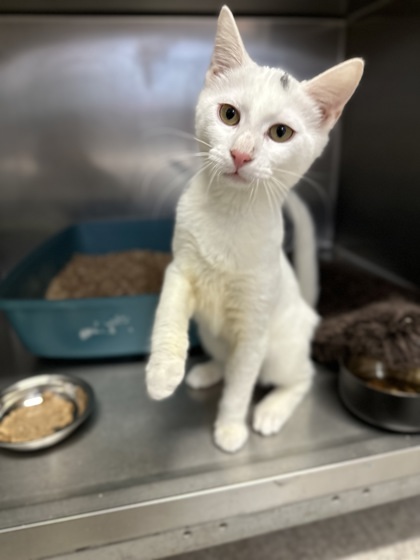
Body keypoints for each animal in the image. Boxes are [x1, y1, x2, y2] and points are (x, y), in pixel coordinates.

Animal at [146, 6, 362, 456]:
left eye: (280, 132)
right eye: (229, 114)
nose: (241, 153)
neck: (230, 214)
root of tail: (311, 313)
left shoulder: (255, 326)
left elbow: (242, 383)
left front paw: (230, 426)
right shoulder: (179, 270)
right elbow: (168, 315)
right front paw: (162, 372)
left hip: (280, 349)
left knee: (301, 377)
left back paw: (271, 410)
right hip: (211, 334)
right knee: (224, 358)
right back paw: (208, 370)